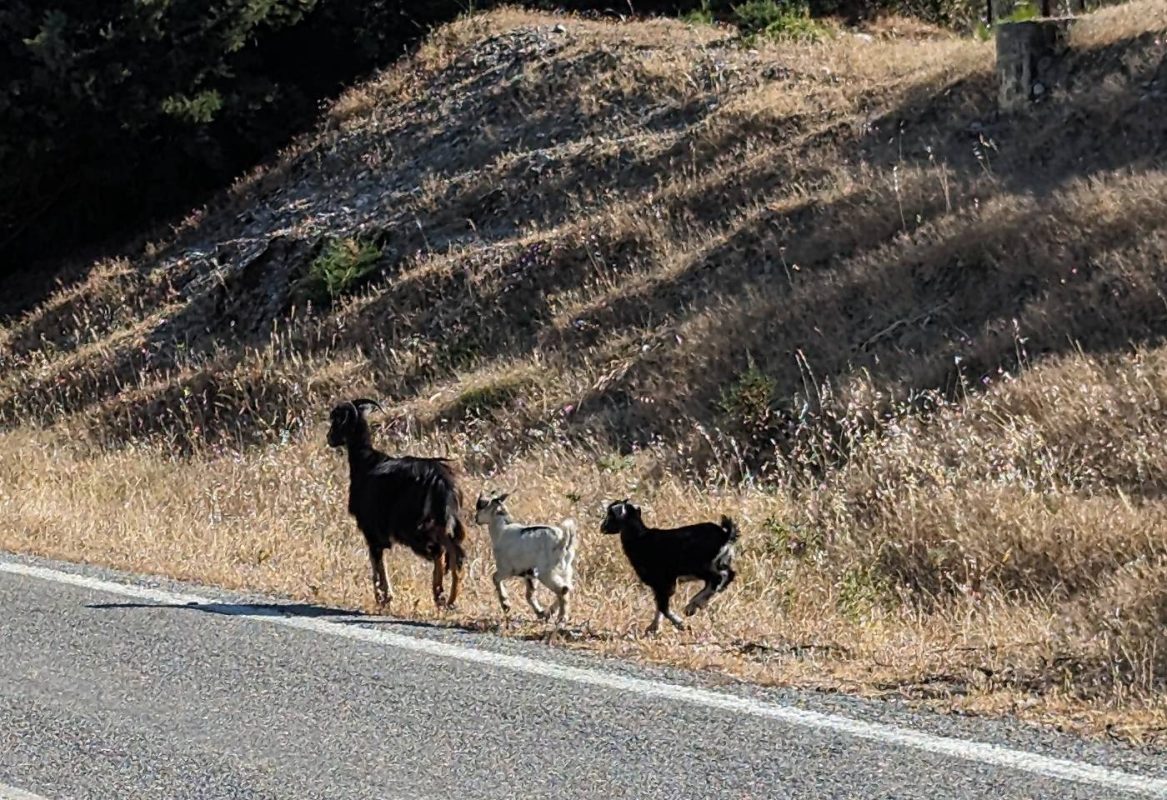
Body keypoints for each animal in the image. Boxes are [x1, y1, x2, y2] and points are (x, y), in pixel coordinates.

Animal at [326, 398, 466, 611]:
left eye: (337, 419)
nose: (330, 438)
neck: (365, 462)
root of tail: (440, 478)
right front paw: (385, 596)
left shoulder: (371, 528)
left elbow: (376, 560)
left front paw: (383, 597)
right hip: (440, 518)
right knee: (453, 550)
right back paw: (447, 598)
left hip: (412, 524)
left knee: (439, 550)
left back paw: (440, 595)